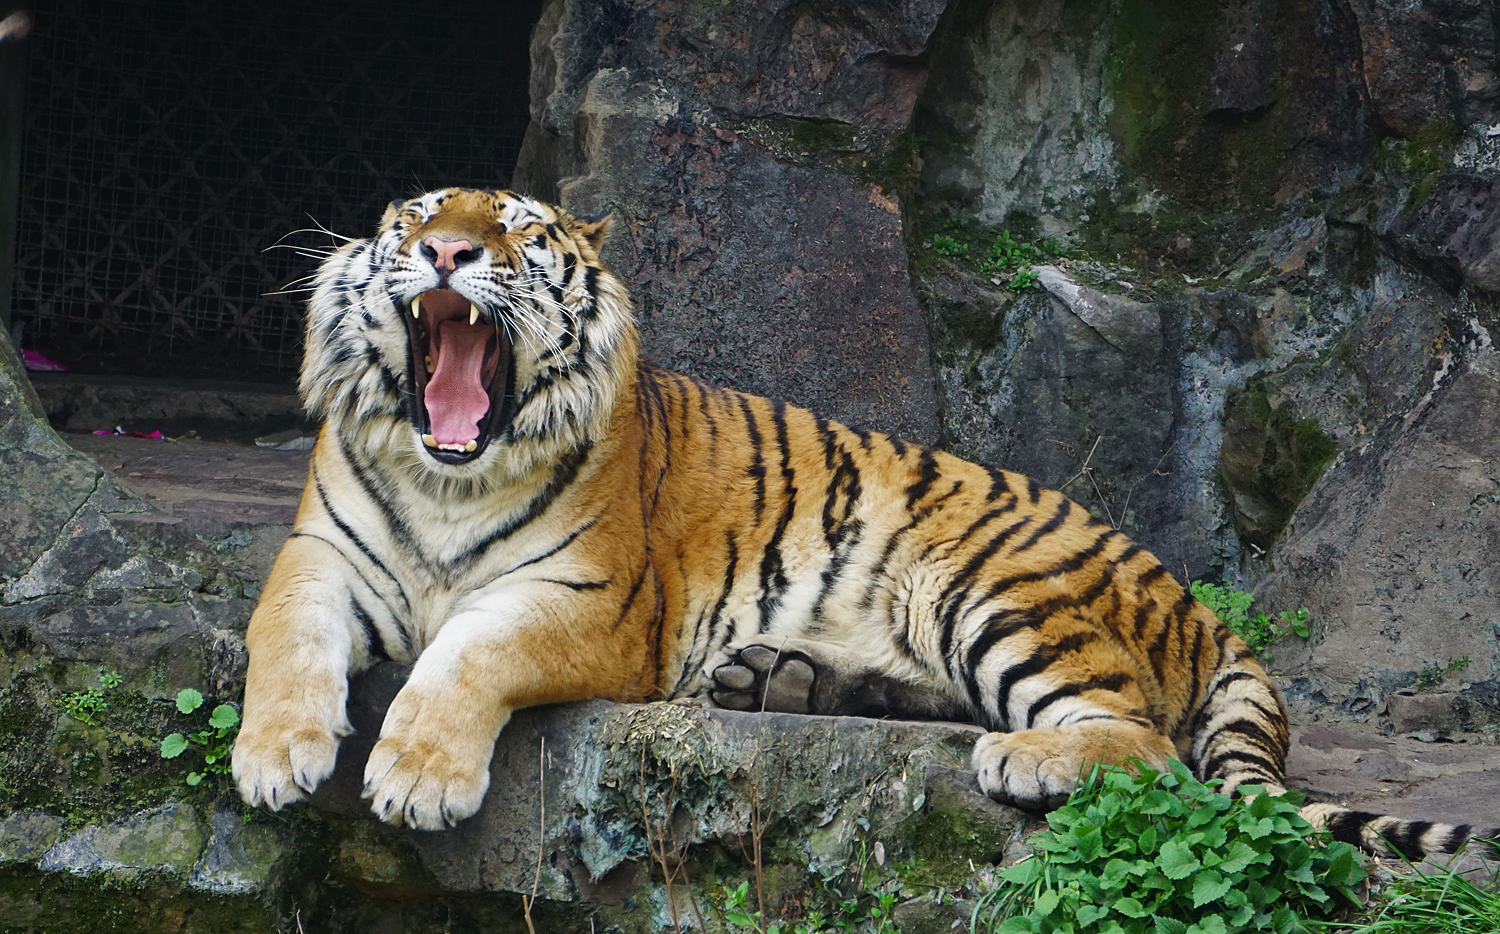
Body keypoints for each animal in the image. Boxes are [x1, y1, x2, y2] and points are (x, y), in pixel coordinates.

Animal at [231, 187, 1493, 860]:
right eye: (413, 219)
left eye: (515, 228)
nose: (445, 251)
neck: (452, 473)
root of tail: (1189, 594)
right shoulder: (321, 557)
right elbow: (281, 638)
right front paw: (276, 756)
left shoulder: (590, 602)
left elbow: (469, 652)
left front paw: (417, 778)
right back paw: (783, 678)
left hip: (986, 586)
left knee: (1142, 740)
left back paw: (1020, 758)